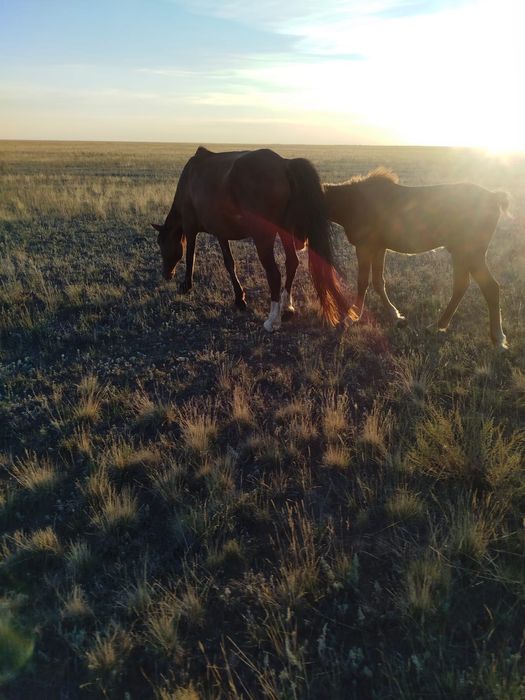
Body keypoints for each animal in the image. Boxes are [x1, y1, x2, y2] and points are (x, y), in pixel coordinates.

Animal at [152, 147, 349, 331]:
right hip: (285, 231)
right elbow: (229, 263)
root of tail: (284, 164)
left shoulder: (191, 228)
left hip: (263, 237)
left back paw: (272, 320)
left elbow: (190, 257)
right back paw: (287, 307)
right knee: (292, 263)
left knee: (274, 274)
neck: (188, 183)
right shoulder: (221, 233)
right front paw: (239, 298)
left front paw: (186, 285)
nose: (166, 274)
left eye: (161, 244)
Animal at [323, 168, 509, 351]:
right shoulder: (379, 248)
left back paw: (497, 338)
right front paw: (396, 316)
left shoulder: (364, 247)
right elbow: (377, 282)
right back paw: (440, 325)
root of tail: (493, 196)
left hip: (469, 254)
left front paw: (350, 317)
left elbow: (362, 282)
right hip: (463, 254)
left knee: (489, 287)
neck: (354, 201)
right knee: (463, 286)